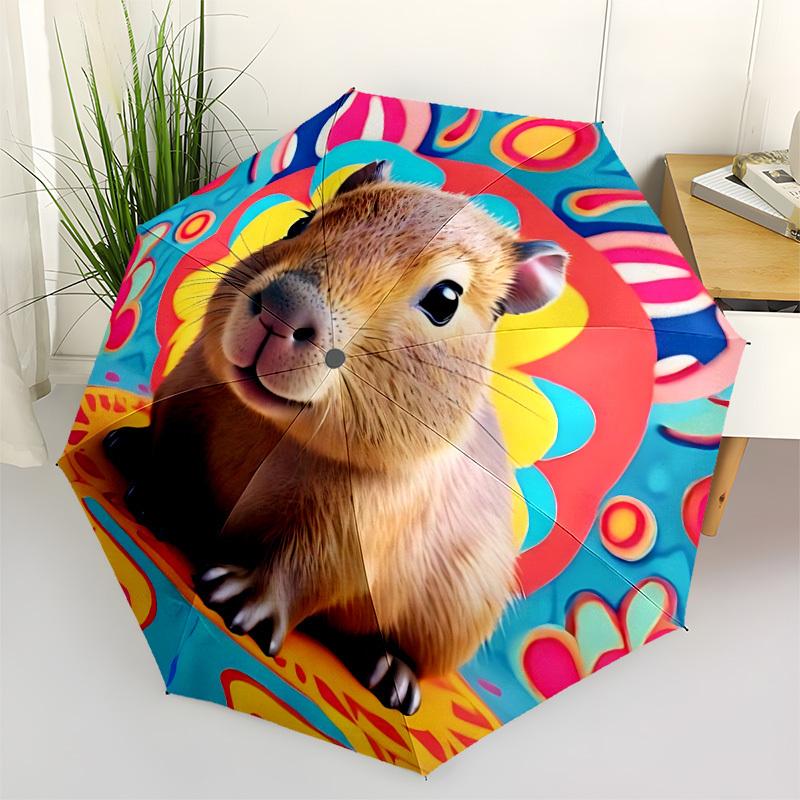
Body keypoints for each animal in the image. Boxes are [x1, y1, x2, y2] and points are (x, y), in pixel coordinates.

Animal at [104, 161, 568, 715]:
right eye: (300, 223)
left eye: (445, 299)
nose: (282, 308)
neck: (275, 429)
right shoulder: (185, 397)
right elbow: (169, 451)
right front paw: (154, 495)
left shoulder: (357, 528)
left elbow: (306, 570)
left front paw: (242, 600)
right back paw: (124, 446)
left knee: (408, 654)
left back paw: (392, 676)